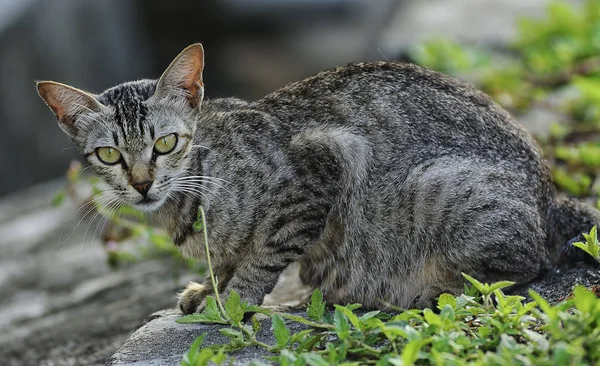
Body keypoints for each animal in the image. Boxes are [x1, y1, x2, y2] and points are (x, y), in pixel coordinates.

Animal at [37, 42, 600, 312]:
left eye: (165, 144)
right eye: (109, 154)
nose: (141, 184)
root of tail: (552, 197)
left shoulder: (322, 163)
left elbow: (263, 256)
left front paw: (235, 300)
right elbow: (230, 257)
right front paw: (211, 286)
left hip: (445, 191)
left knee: (523, 269)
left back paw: (429, 290)